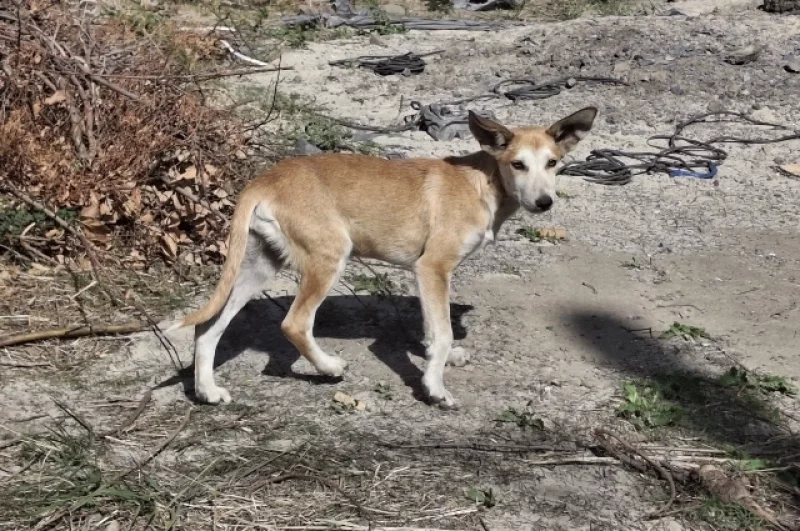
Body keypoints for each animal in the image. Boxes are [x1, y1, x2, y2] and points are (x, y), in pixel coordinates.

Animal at [173, 107, 600, 408]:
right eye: (518, 164)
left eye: (553, 163)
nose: (544, 203)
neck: (483, 183)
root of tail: (264, 180)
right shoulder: (433, 267)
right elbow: (443, 332)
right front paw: (434, 388)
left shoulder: (425, 275)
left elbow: (432, 330)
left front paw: (436, 361)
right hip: (329, 257)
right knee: (294, 323)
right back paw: (329, 368)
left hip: (259, 268)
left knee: (206, 327)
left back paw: (207, 391)